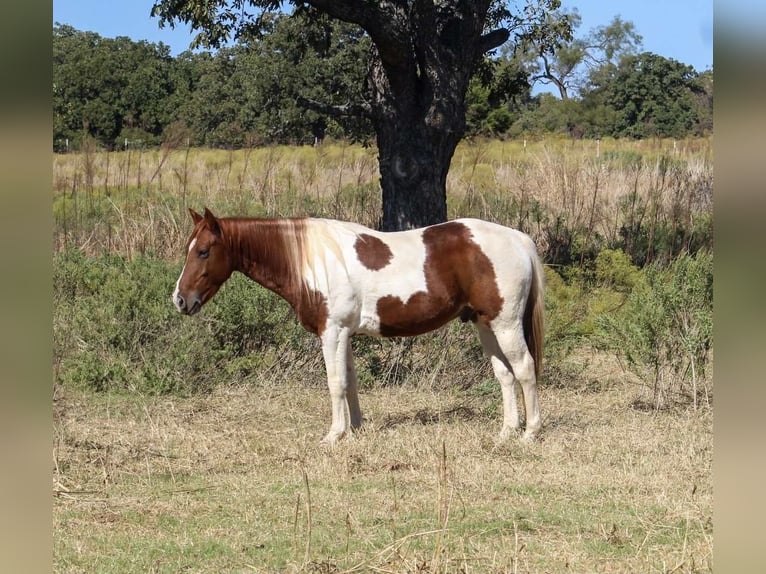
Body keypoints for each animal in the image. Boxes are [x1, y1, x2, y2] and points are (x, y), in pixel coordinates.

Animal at [173, 208, 545, 444]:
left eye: (203, 251)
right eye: (190, 249)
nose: (179, 299)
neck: (310, 260)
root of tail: (519, 239)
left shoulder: (332, 331)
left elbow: (335, 383)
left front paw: (334, 435)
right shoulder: (345, 335)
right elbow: (350, 381)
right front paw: (354, 428)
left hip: (506, 324)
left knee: (525, 369)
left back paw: (530, 433)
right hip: (485, 324)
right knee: (505, 375)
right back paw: (506, 432)